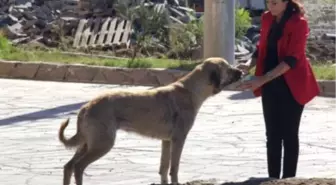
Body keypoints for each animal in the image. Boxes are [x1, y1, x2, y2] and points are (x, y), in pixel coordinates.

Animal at [57, 57, 242, 184]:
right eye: (228, 69)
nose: (242, 72)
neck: (190, 90)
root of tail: (86, 107)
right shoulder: (178, 140)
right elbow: (174, 168)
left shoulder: (166, 141)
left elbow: (164, 168)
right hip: (102, 144)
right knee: (78, 167)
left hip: (87, 143)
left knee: (68, 166)